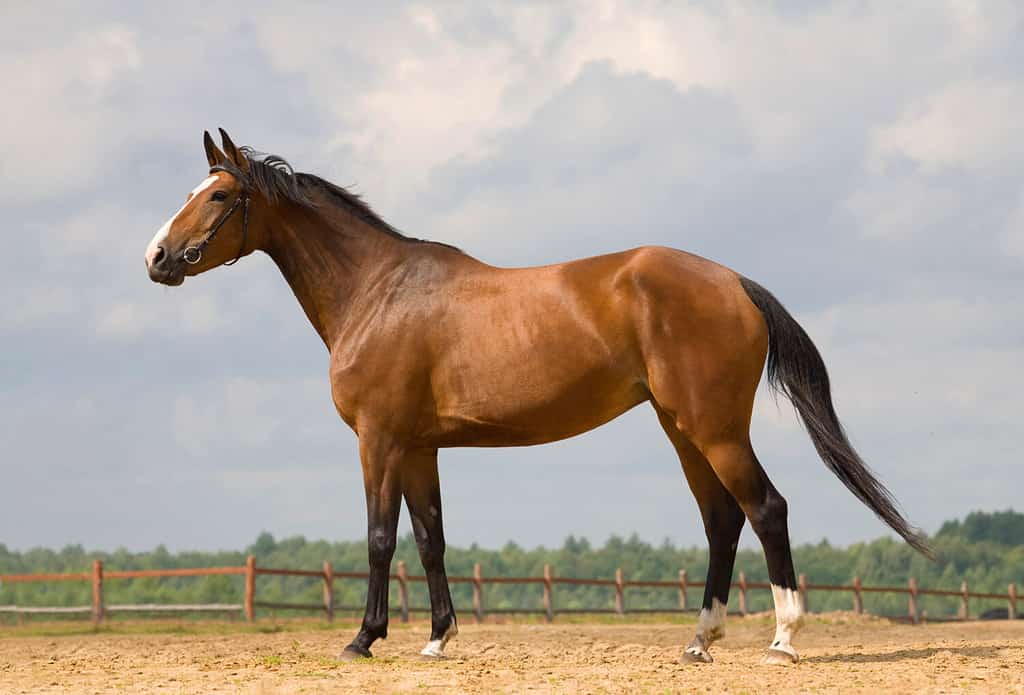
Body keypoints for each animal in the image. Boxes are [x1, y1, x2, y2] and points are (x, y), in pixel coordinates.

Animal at [145, 129, 929, 665]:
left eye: (218, 196)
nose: (156, 258)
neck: (379, 291)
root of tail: (734, 280)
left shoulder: (379, 440)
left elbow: (378, 539)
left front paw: (363, 639)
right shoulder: (420, 447)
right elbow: (430, 539)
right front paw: (437, 638)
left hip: (714, 429)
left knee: (766, 509)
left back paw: (784, 638)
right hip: (682, 429)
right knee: (721, 520)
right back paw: (699, 641)